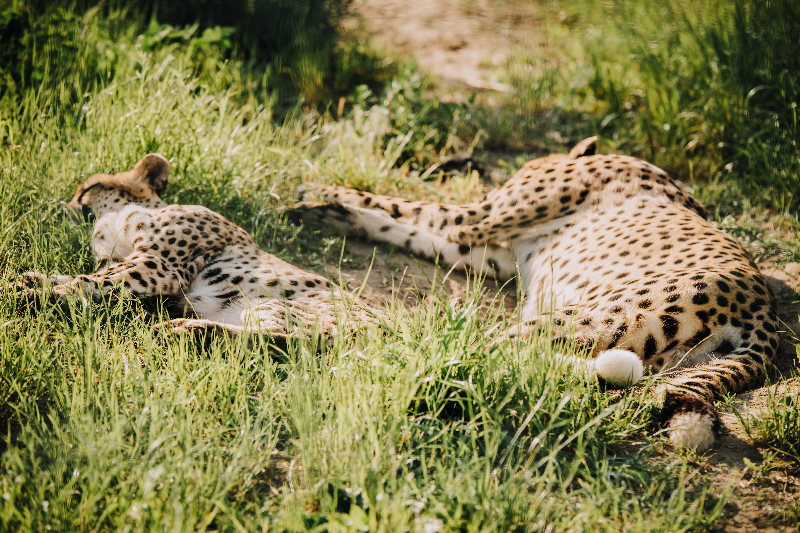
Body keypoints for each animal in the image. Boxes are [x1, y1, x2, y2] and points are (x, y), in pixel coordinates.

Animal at [20, 154, 376, 342]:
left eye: (88, 188)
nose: (62, 208)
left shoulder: (159, 265)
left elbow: (90, 280)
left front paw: (38, 292)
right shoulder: (132, 262)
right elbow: (91, 276)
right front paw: (38, 279)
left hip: (285, 304)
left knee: (284, 344)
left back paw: (182, 329)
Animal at [284, 137, 780, 448]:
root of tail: (764, 313)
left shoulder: (476, 219)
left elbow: (402, 204)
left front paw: (316, 190)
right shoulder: (492, 251)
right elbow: (406, 228)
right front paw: (330, 210)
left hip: (585, 314)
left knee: (484, 359)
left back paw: (365, 361)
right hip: (645, 351)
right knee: (550, 370)